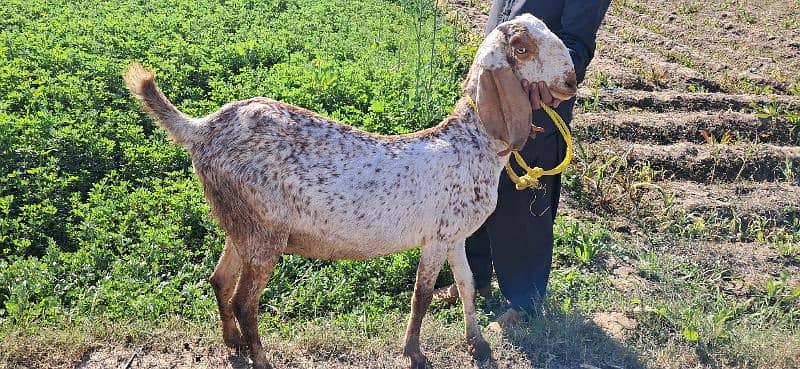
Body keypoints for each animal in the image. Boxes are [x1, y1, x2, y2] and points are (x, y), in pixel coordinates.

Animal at [123, 14, 576, 368]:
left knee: (220, 280)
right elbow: (421, 296)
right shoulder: (436, 237)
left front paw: (477, 344)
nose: (571, 80)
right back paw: (261, 359)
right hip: (264, 233)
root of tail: (202, 130)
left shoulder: (455, 236)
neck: (471, 143)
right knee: (243, 300)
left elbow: (466, 284)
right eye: (521, 48)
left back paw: (233, 345)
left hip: (244, 225)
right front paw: (414, 353)